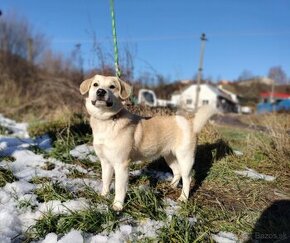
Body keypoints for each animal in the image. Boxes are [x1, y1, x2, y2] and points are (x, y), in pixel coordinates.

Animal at [80, 74, 216, 211]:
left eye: (112, 87)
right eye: (95, 84)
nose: (100, 91)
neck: (106, 121)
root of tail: (190, 122)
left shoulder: (121, 164)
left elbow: (119, 188)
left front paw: (117, 206)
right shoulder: (105, 162)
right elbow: (106, 181)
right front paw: (103, 196)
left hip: (185, 158)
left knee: (187, 178)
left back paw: (183, 198)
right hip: (169, 156)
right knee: (177, 172)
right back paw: (171, 186)